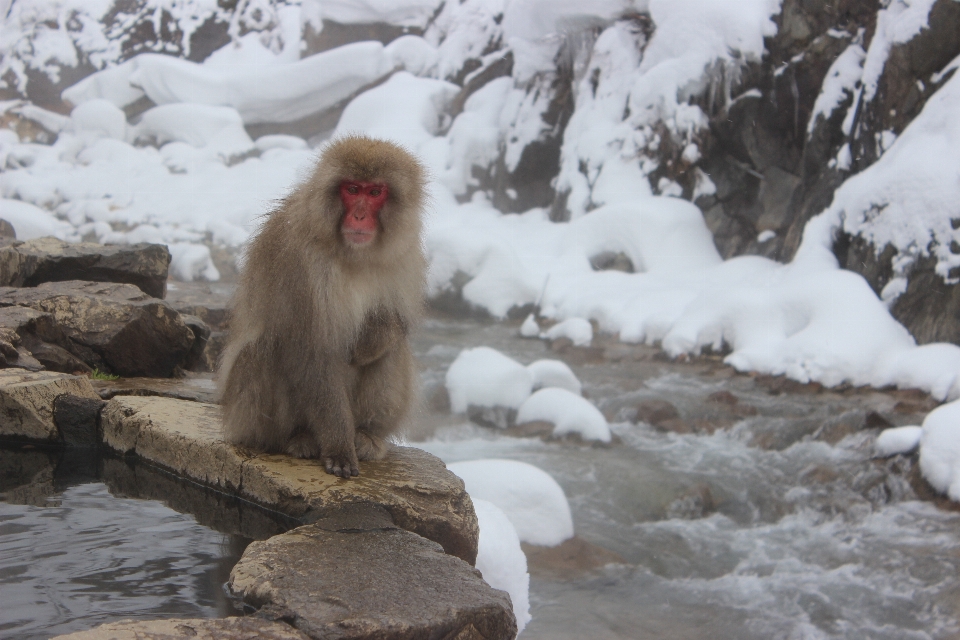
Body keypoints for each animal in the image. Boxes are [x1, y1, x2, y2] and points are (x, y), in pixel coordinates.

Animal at [221, 134, 428, 476]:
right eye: (352, 189)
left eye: (375, 192)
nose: (359, 216)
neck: (352, 254)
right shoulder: (299, 264)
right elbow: (313, 352)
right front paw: (339, 447)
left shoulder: (405, 255)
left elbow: (391, 325)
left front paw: (375, 337)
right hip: (245, 413)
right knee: (266, 348)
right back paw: (297, 437)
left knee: (394, 349)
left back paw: (367, 434)